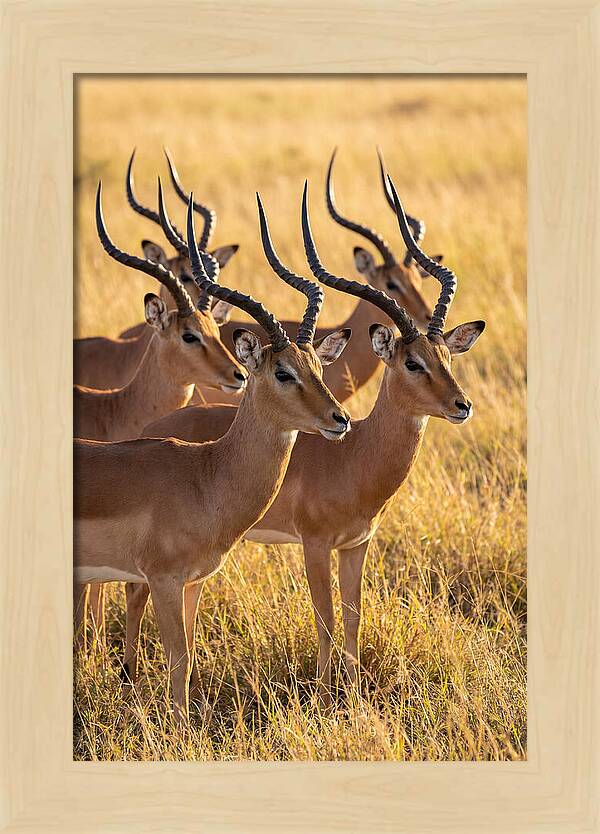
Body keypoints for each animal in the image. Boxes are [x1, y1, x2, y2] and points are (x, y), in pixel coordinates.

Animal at [74, 191, 352, 724]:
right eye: (282, 372)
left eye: (317, 365)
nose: (340, 419)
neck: (206, 477)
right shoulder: (162, 578)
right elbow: (178, 660)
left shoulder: (194, 581)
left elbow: (189, 655)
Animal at [135, 178, 485, 705]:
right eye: (412, 362)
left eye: (446, 356)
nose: (461, 406)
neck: (356, 456)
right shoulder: (315, 544)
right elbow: (325, 620)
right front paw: (322, 697)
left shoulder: (357, 545)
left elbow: (354, 619)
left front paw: (354, 696)